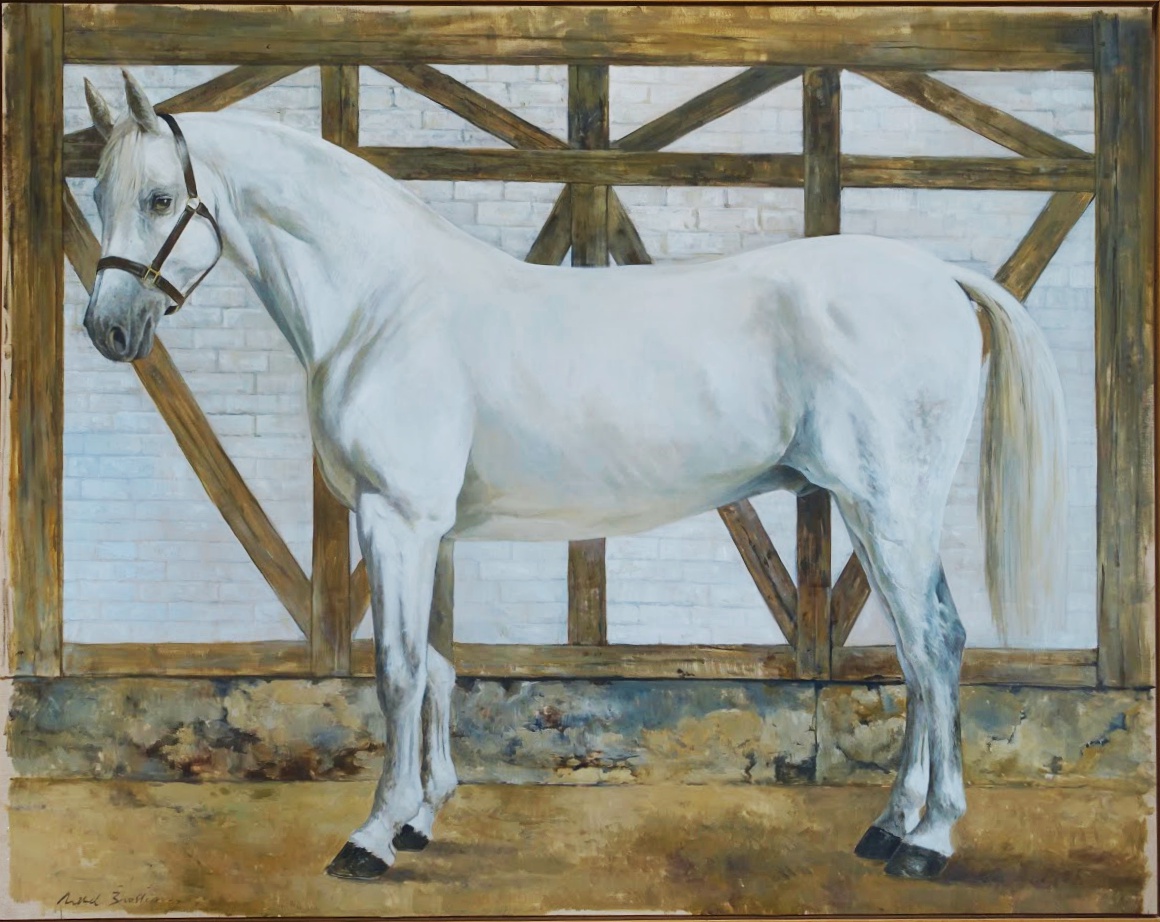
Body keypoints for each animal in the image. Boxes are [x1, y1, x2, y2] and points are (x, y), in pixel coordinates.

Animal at [82, 71, 1067, 882]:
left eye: (161, 197)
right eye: (97, 194)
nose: (106, 329)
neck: (382, 304)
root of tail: (940, 275)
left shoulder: (398, 519)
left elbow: (398, 672)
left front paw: (372, 836)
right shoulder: (429, 529)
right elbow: (438, 666)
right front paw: (422, 819)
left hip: (890, 509)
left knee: (933, 647)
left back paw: (929, 841)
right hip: (875, 515)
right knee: (923, 650)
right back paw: (890, 825)